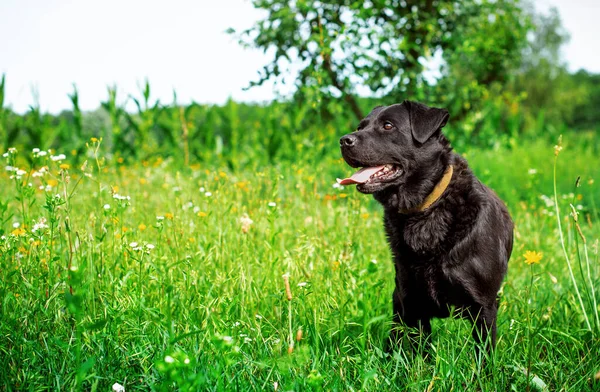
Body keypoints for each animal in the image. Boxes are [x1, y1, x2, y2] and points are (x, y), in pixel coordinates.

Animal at [340, 100, 512, 352]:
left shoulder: (484, 305)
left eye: (388, 126)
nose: (344, 140)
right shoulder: (412, 301)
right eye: (361, 126)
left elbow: (484, 353)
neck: (426, 209)